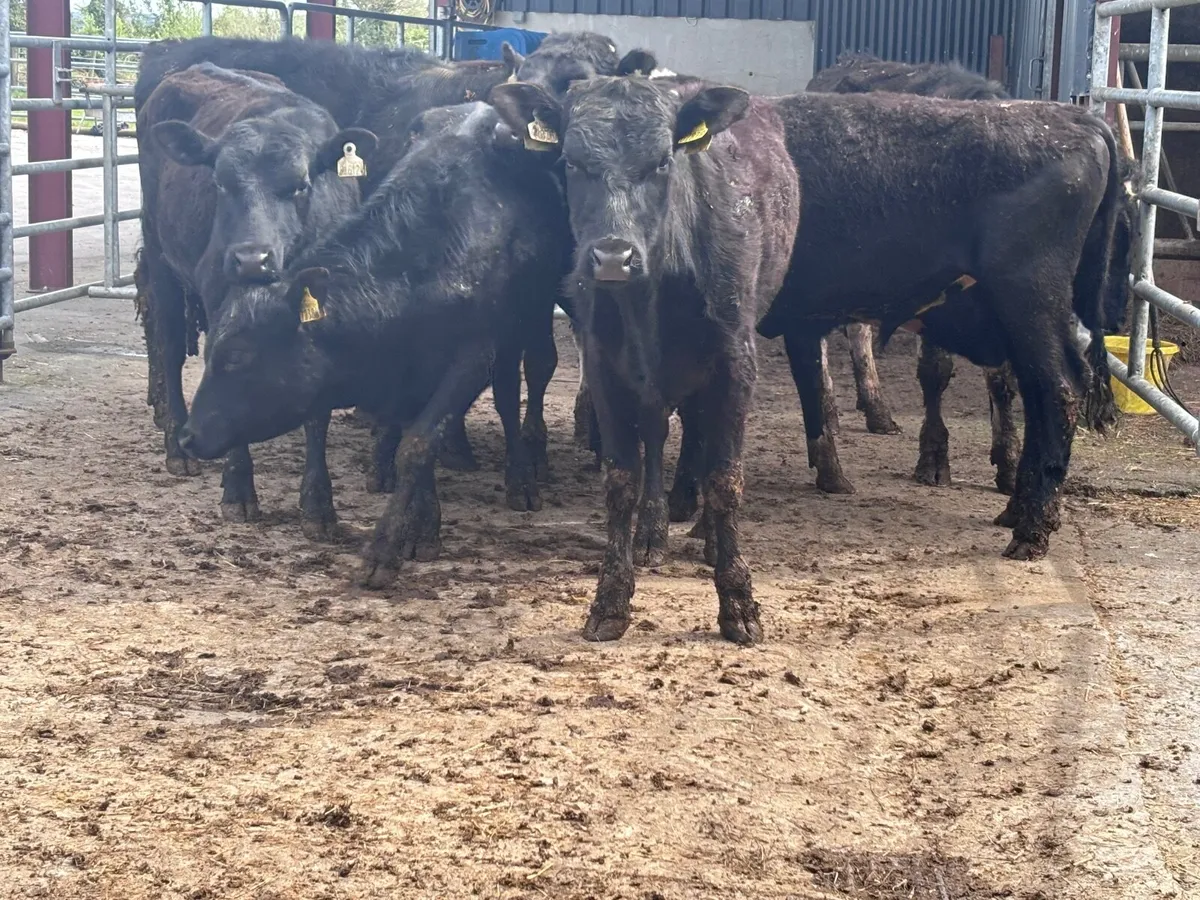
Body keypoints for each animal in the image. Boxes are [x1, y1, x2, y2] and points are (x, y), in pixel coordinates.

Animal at [136, 63, 377, 536]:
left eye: (301, 185)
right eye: (220, 183)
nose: (251, 259)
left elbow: (316, 410)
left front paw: (318, 503)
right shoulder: (217, 298)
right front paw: (238, 490)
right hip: (159, 256)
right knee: (168, 346)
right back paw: (176, 445)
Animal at [176, 102, 571, 575]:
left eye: (237, 356)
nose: (187, 436)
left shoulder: (474, 358)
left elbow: (419, 445)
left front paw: (385, 549)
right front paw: (422, 525)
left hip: (526, 321)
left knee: (511, 397)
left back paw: (521, 480)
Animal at [491, 75, 800, 646]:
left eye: (661, 162)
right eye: (571, 161)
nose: (613, 256)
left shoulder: (736, 365)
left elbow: (726, 480)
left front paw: (738, 602)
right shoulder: (606, 369)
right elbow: (621, 481)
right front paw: (610, 598)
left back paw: (705, 537)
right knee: (656, 436)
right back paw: (651, 531)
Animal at [752, 89, 1128, 560]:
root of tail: (1076, 118)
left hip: (1030, 298)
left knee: (1059, 390)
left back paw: (1030, 531)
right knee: (1036, 395)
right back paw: (1015, 511)